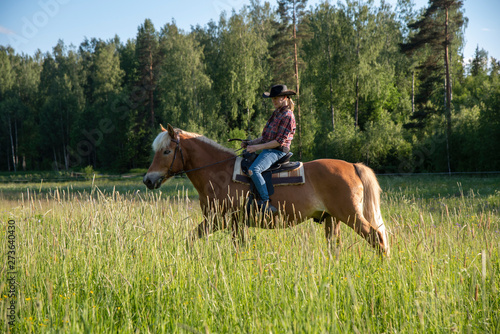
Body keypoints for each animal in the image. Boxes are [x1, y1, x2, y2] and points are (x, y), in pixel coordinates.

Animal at [143, 124, 388, 256]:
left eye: (166, 151)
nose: (148, 180)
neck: (219, 172)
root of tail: (353, 166)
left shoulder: (228, 220)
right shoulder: (219, 221)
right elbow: (191, 240)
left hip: (350, 215)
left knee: (376, 237)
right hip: (332, 219)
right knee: (335, 246)